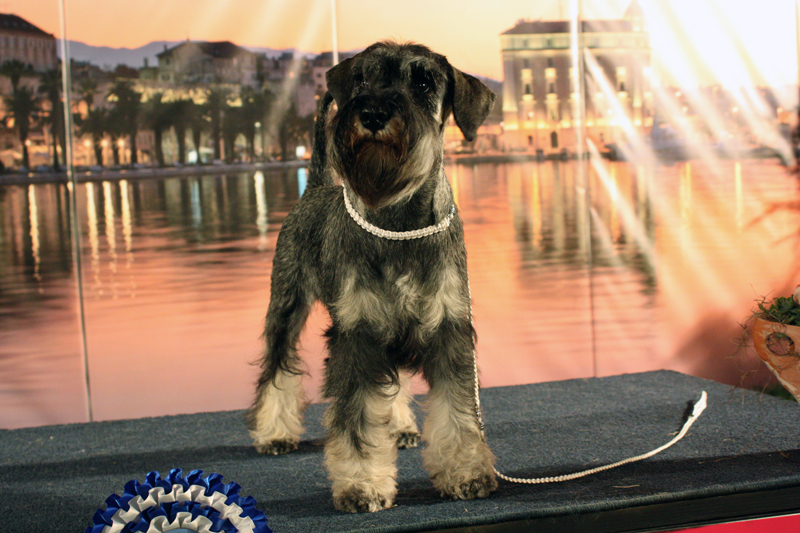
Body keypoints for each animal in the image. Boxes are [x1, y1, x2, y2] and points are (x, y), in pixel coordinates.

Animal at [246, 40, 498, 513]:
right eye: (362, 77)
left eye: (424, 82)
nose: (374, 114)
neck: (398, 221)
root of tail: (314, 186)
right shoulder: (358, 335)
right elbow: (358, 419)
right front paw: (362, 485)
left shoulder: (448, 329)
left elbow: (457, 412)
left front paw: (466, 472)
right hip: (286, 305)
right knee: (277, 368)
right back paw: (274, 433)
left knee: (391, 382)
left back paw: (399, 428)